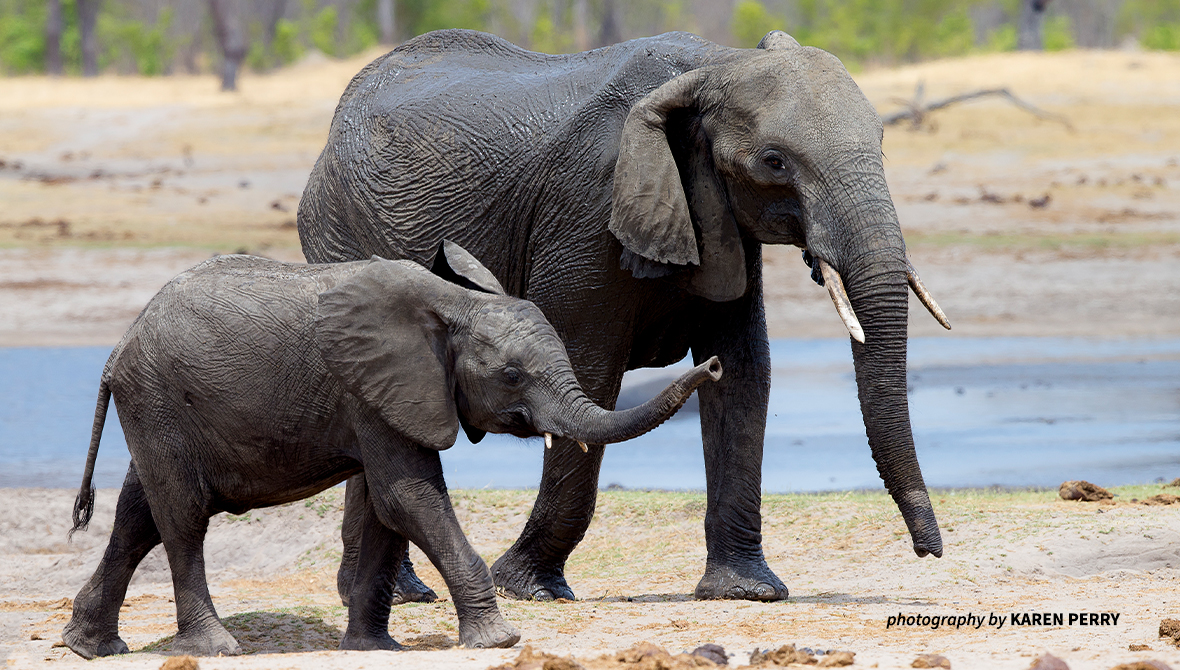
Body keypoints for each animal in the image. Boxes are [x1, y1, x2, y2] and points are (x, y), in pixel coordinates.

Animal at [62, 241, 722, 658]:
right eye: (511, 376)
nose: (713, 364)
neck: (454, 305)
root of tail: (118, 347)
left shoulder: (383, 397)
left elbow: (387, 506)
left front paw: (373, 648)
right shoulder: (373, 387)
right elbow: (411, 497)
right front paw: (499, 640)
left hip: (158, 410)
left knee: (139, 514)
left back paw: (90, 646)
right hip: (158, 399)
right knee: (183, 516)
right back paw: (215, 649)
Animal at [297, 29, 952, 604]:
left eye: (883, 142)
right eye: (774, 163)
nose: (931, 551)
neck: (713, 64)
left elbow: (746, 372)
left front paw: (746, 592)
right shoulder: (588, 209)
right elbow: (589, 371)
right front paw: (530, 588)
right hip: (336, 233)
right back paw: (403, 596)